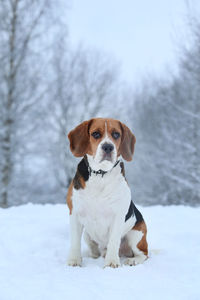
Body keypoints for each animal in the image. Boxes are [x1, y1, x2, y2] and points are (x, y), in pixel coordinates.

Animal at [66, 117, 148, 268]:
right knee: (95, 248)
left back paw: (132, 260)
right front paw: (74, 261)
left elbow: (114, 241)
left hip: (136, 235)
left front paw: (111, 263)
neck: (100, 174)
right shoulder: (74, 213)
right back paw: (95, 255)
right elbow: (74, 242)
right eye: (95, 134)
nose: (108, 147)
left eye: (116, 134)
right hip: (87, 234)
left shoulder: (117, 215)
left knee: (144, 254)